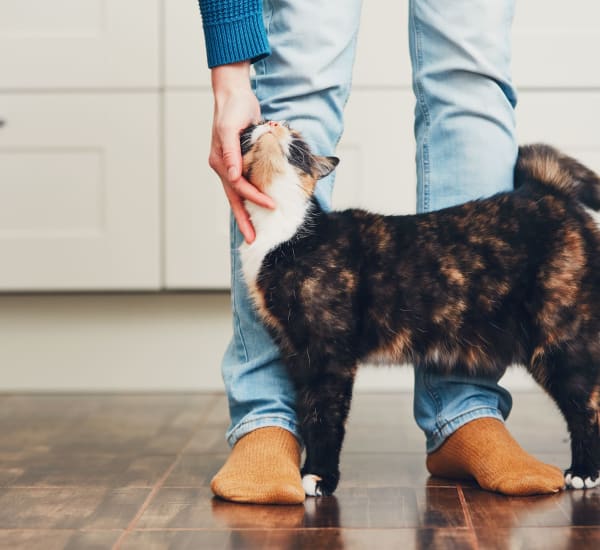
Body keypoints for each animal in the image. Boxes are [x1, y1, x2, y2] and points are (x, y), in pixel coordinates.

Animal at [237, 121, 596, 500]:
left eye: (298, 139)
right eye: (253, 127)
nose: (273, 123)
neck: (282, 232)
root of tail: (546, 191)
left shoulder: (329, 354)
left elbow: (326, 417)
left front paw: (320, 476)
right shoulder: (297, 352)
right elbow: (309, 412)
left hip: (560, 340)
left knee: (586, 405)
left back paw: (584, 472)